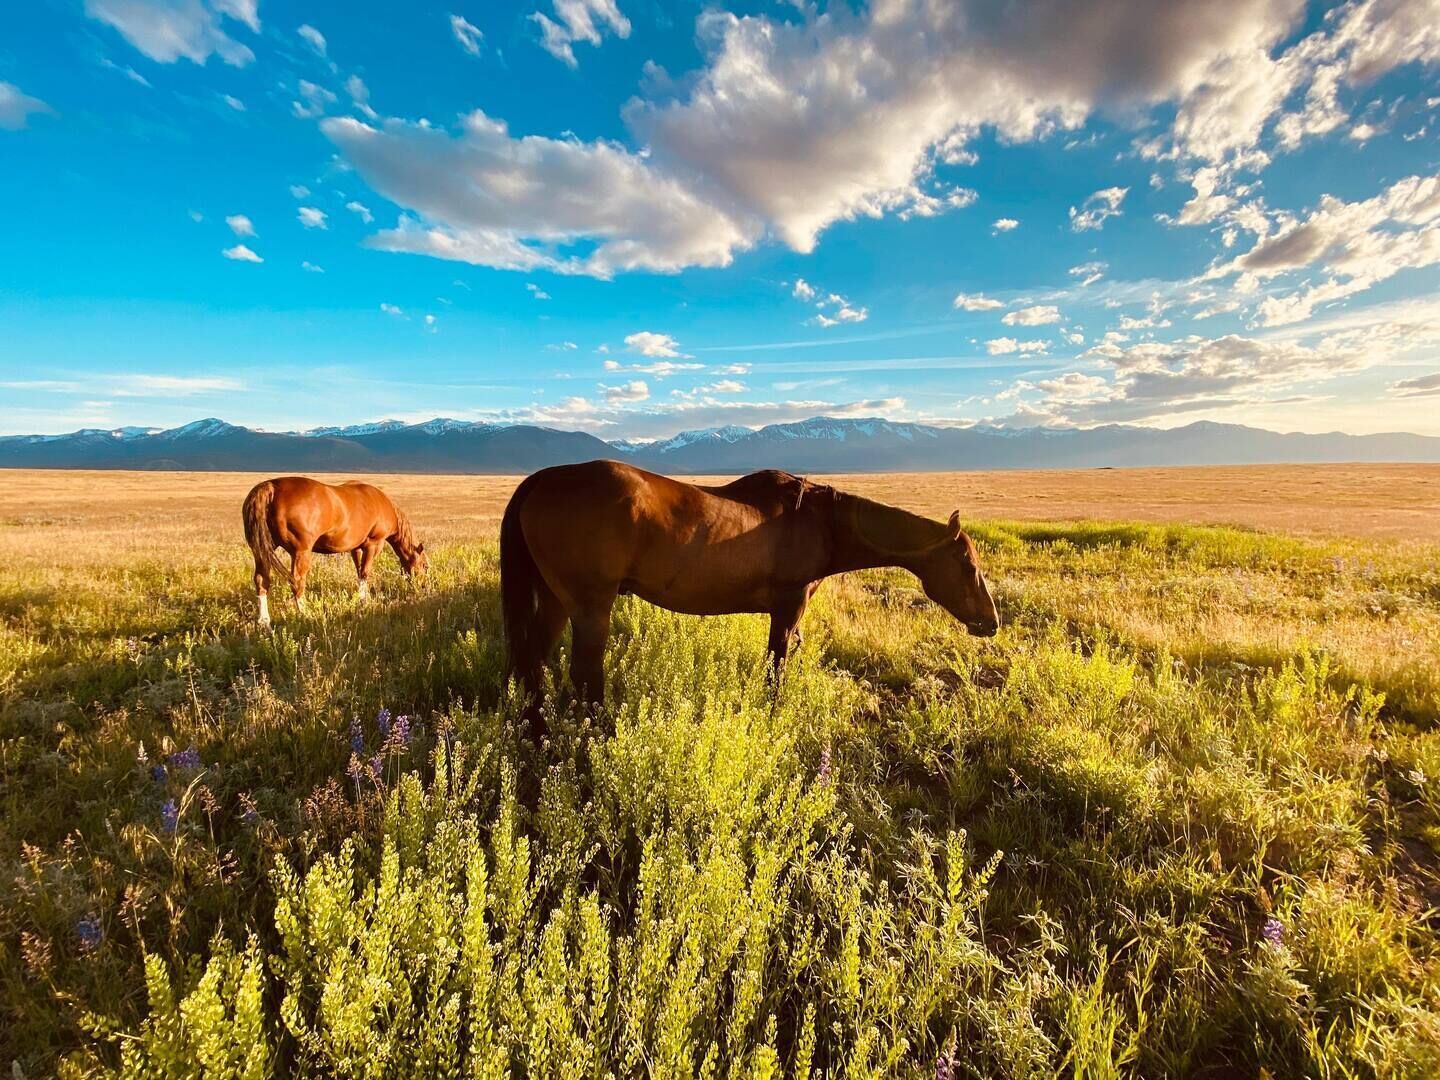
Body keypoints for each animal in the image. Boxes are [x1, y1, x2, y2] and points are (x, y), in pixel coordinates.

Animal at [241, 476, 428, 626]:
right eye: (425, 566)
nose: (423, 586)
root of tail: (271, 487)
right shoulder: (374, 544)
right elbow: (365, 572)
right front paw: (364, 602)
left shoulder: (355, 548)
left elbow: (359, 572)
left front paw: (362, 598)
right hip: (301, 552)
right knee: (297, 582)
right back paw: (305, 614)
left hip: (262, 550)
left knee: (261, 580)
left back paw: (264, 621)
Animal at [500, 460, 998, 733]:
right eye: (968, 565)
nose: (991, 622)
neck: (821, 523)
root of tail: (541, 480)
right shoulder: (788, 609)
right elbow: (776, 670)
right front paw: (773, 716)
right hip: (590, 607)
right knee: (584, 676)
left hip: (555, 601)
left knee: (534, 663)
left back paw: (535, 729)